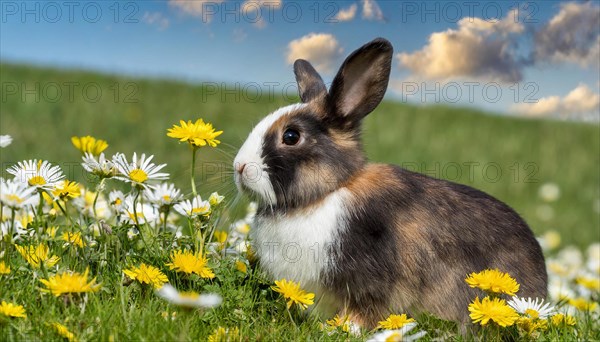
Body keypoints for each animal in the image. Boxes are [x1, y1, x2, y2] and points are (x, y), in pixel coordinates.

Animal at [234, 37, 548, 328]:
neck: (326, 194)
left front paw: (344, 329)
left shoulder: (369, 283)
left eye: (291, 136)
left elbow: (364, 312)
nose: (239, 166)